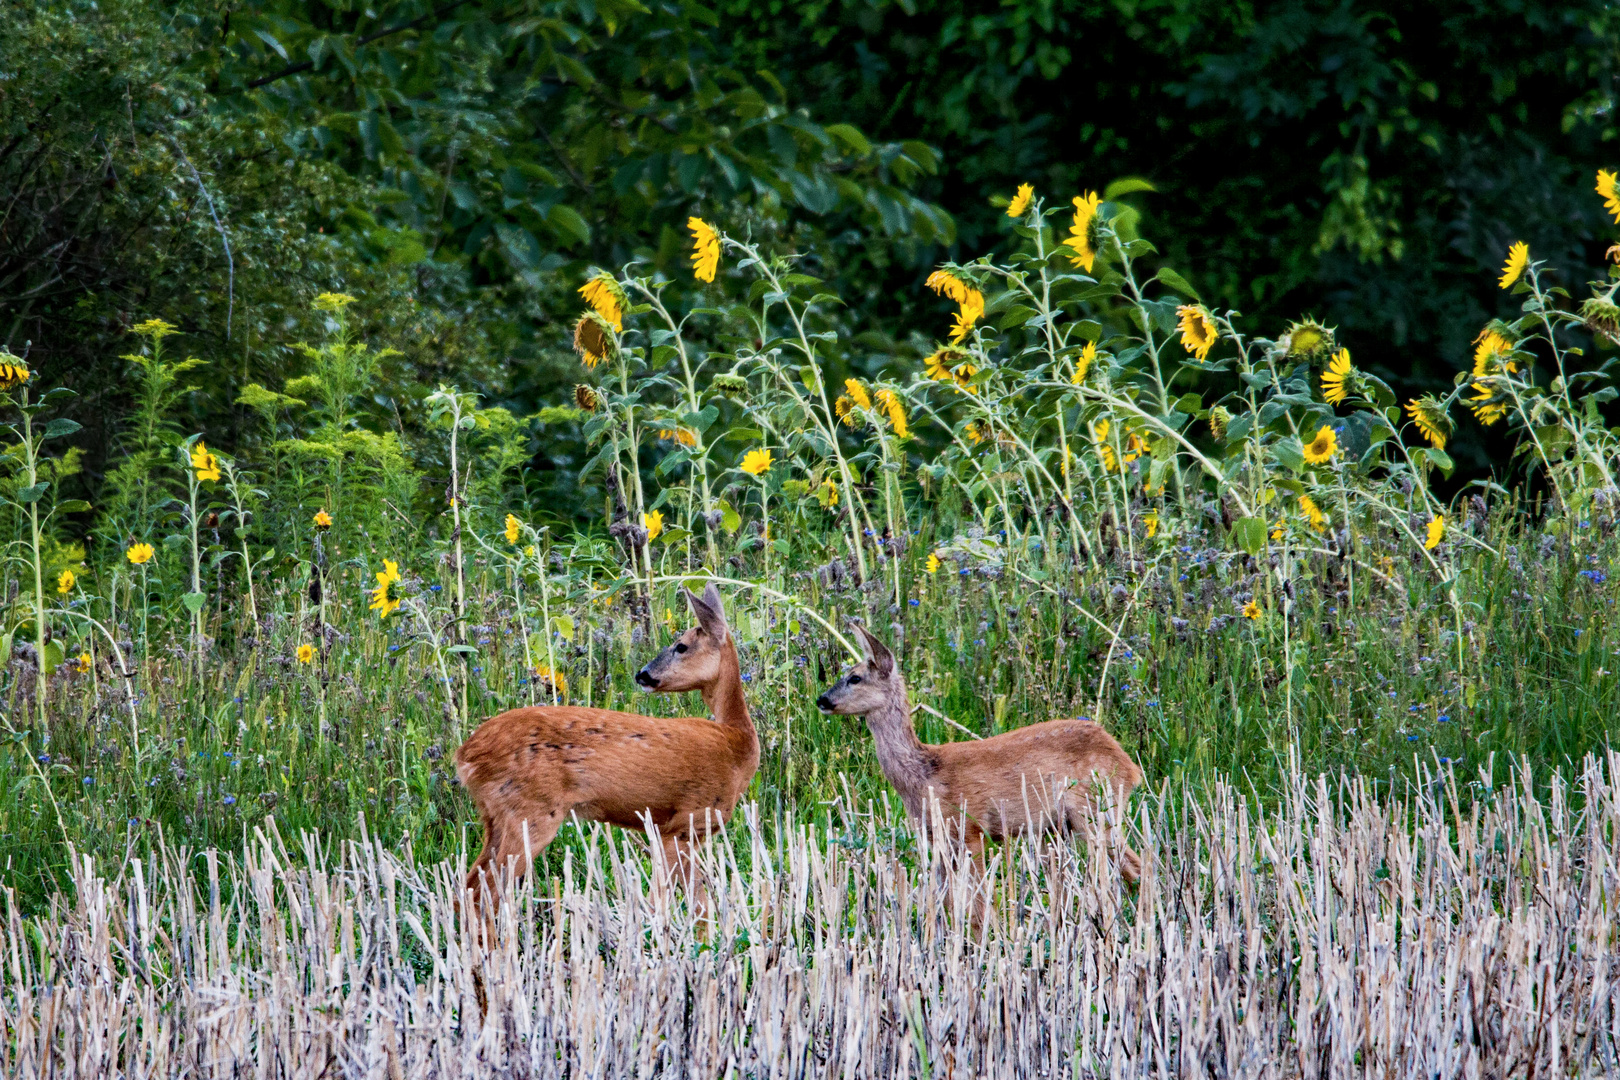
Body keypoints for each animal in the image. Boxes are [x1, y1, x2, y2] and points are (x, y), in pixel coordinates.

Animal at [456, 582, 758, 913]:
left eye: (681, 646)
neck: (737, 746)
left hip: (495, 816)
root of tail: (465, 755)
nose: (642, 674)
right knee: (481, 892)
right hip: (528, 812)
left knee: (468, 886)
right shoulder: (684, 824)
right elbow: (678, 902)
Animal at [816, 625, 1146, 887]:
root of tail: (1130, 767)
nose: (821, 699)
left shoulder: (970, 828)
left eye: (855, 678)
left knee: (1138, 866)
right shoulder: (936, 838)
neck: (924, 775)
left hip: (1094, 808)